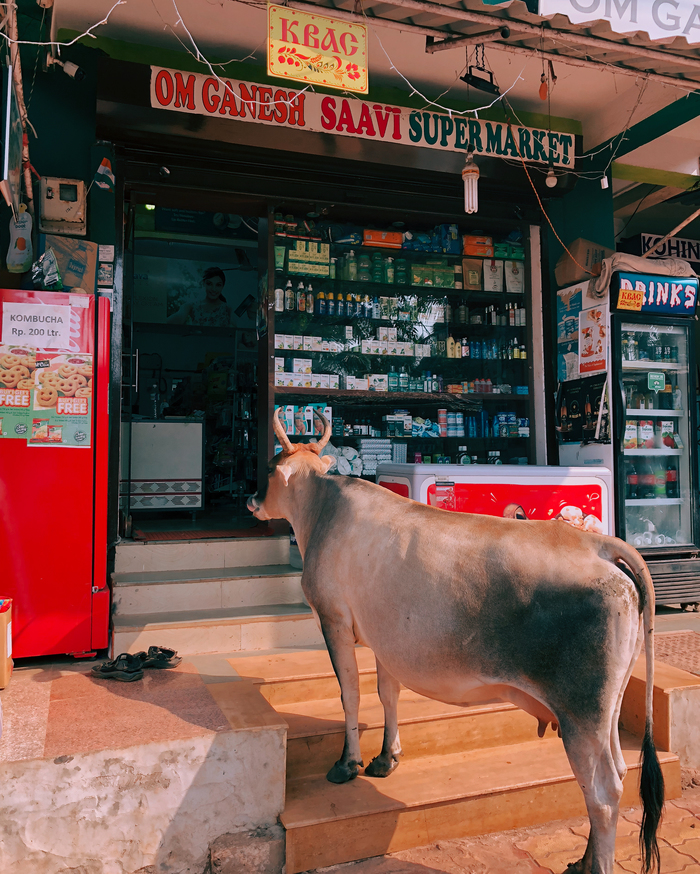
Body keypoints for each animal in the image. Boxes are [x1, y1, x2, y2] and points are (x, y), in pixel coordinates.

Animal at [249, 410, 664, 872]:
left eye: (269, 469)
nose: (251, 500)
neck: (322, 510)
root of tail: (599, 544)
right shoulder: (384, 638)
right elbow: (387, 693)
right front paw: (386, 757)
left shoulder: (333, 619)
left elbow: (351, 693)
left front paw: (347, 763)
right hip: (609, 706)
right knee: (617, 773)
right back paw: (582, 858)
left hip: (582, 714)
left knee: (605, 792)